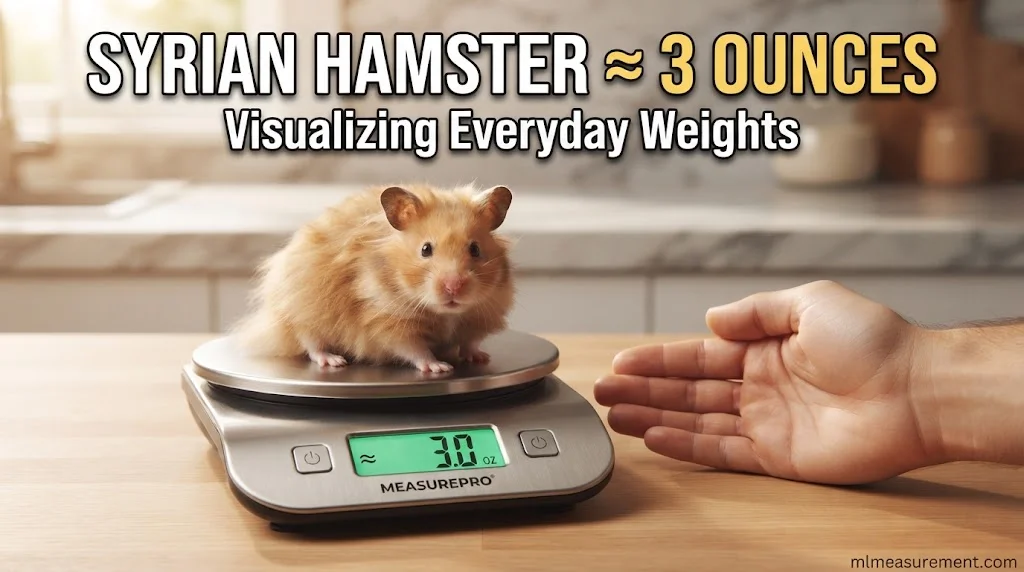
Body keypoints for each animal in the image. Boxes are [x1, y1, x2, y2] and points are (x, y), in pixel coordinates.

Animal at [231, 183, 516, 374]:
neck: (445, 314)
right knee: (309, 341)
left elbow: (469, 341)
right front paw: (440, 367)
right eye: (426, 249)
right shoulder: (386, 321)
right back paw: (333, 360)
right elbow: (415, 349)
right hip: (303, 308)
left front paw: (479, 357)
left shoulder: (482, 314)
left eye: (475, 249)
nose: (453, 287)